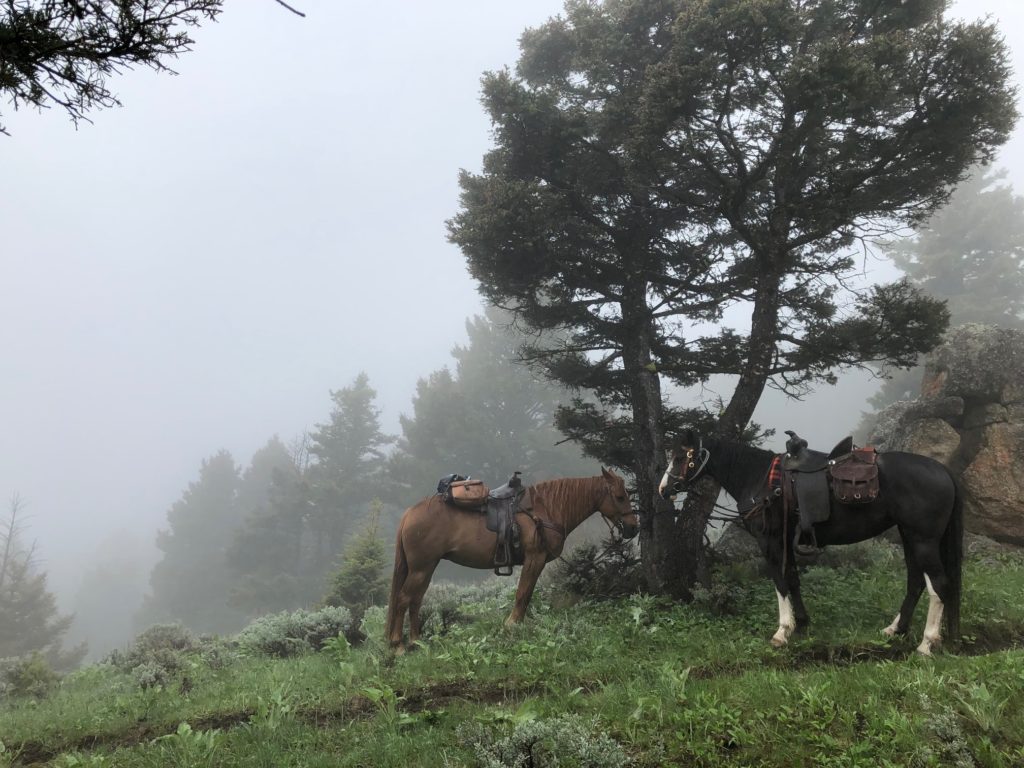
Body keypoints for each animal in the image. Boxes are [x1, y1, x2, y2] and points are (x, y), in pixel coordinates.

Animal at [385, 468, 634, 651]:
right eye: (620, 497)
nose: (633, 527)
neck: (545, 510)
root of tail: (409, 513)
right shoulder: (535, 558)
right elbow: (523, 593)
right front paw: (512, 625)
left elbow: (527, 593)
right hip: (421, 567)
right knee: (404, 599)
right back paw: (398, 645)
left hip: (426, 568)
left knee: (416, 600)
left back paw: (416, 641)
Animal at [659, 434, 962, 655]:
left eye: (680, 457)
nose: (663, 490)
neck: (760, 480)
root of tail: (943, 470)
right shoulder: (786, 540)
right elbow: (793, 580)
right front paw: (802, 625)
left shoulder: (770, 542)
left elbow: (780, 582)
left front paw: (782, 631)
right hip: (909, 536)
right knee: (916, 582)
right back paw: (894, 629)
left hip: (923, 540)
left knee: (939, 585)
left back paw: (927, 644)